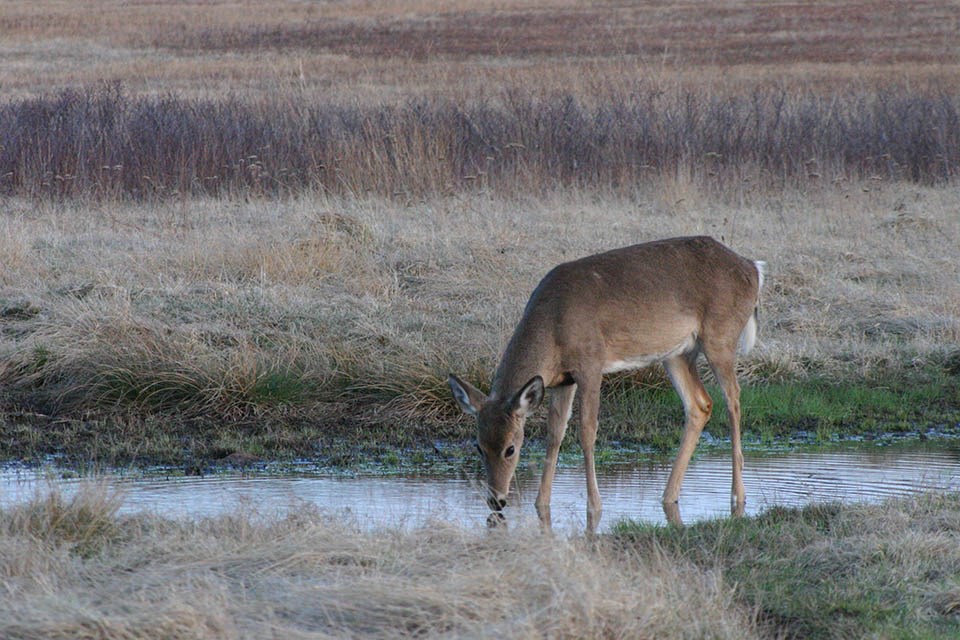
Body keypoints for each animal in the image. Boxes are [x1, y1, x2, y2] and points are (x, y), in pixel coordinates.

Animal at [448, 235, 764, 528]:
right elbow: (555, 433)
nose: (496, 500)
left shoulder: (591, 363)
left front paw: (594, 507)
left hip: (720, 335)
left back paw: (738, 496)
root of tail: (752, 268)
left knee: (733, 399)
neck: (553, 326)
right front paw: (542, 505)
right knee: (700, 404)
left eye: (511, 449)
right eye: (478, 446)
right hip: (676, 352)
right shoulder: (563, 380)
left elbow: (587, 431)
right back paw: (669, 497)